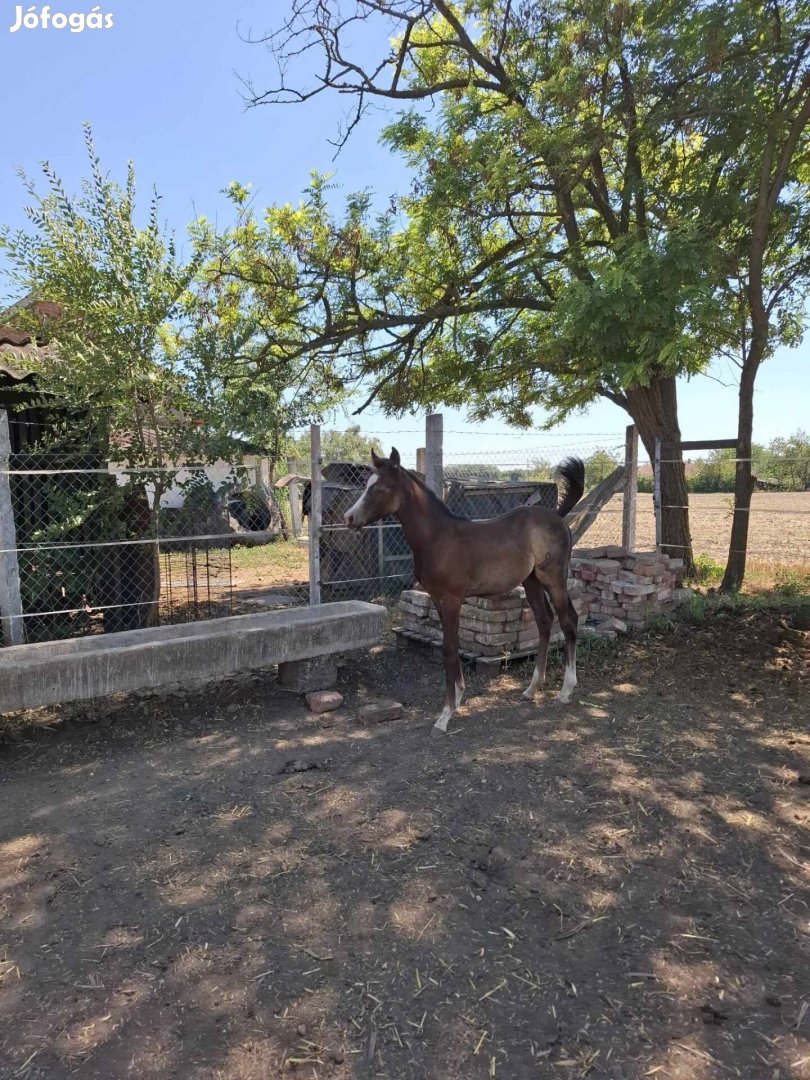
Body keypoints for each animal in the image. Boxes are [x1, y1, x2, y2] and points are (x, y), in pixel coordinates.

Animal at [343, 444, 583, 734]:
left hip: (554, 578)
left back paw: (566, 690)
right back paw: (531, 689)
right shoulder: (437, 599)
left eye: (381, 489)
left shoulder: (452, 599)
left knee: (568, 620)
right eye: (367, 484)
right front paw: (457, 698)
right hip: (532, 581)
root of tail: (557, 517)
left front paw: (445, 715)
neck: (437, 537)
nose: (349, 517)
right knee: (545, 621)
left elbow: (448, 649)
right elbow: (452, 645)